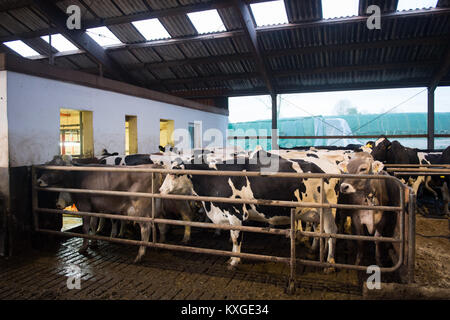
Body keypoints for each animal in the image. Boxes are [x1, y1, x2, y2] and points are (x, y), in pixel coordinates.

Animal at [158, 151, 338, 272]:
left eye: (174, 173)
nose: (160, 190)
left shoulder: (236, 214)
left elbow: (236, 238)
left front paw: (235, 261)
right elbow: (233, 237)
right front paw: (232, 258)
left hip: (329, 210)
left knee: (331, 233)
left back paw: (330, 263)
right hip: (315, 212)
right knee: (319, 230)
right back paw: (315, 252)